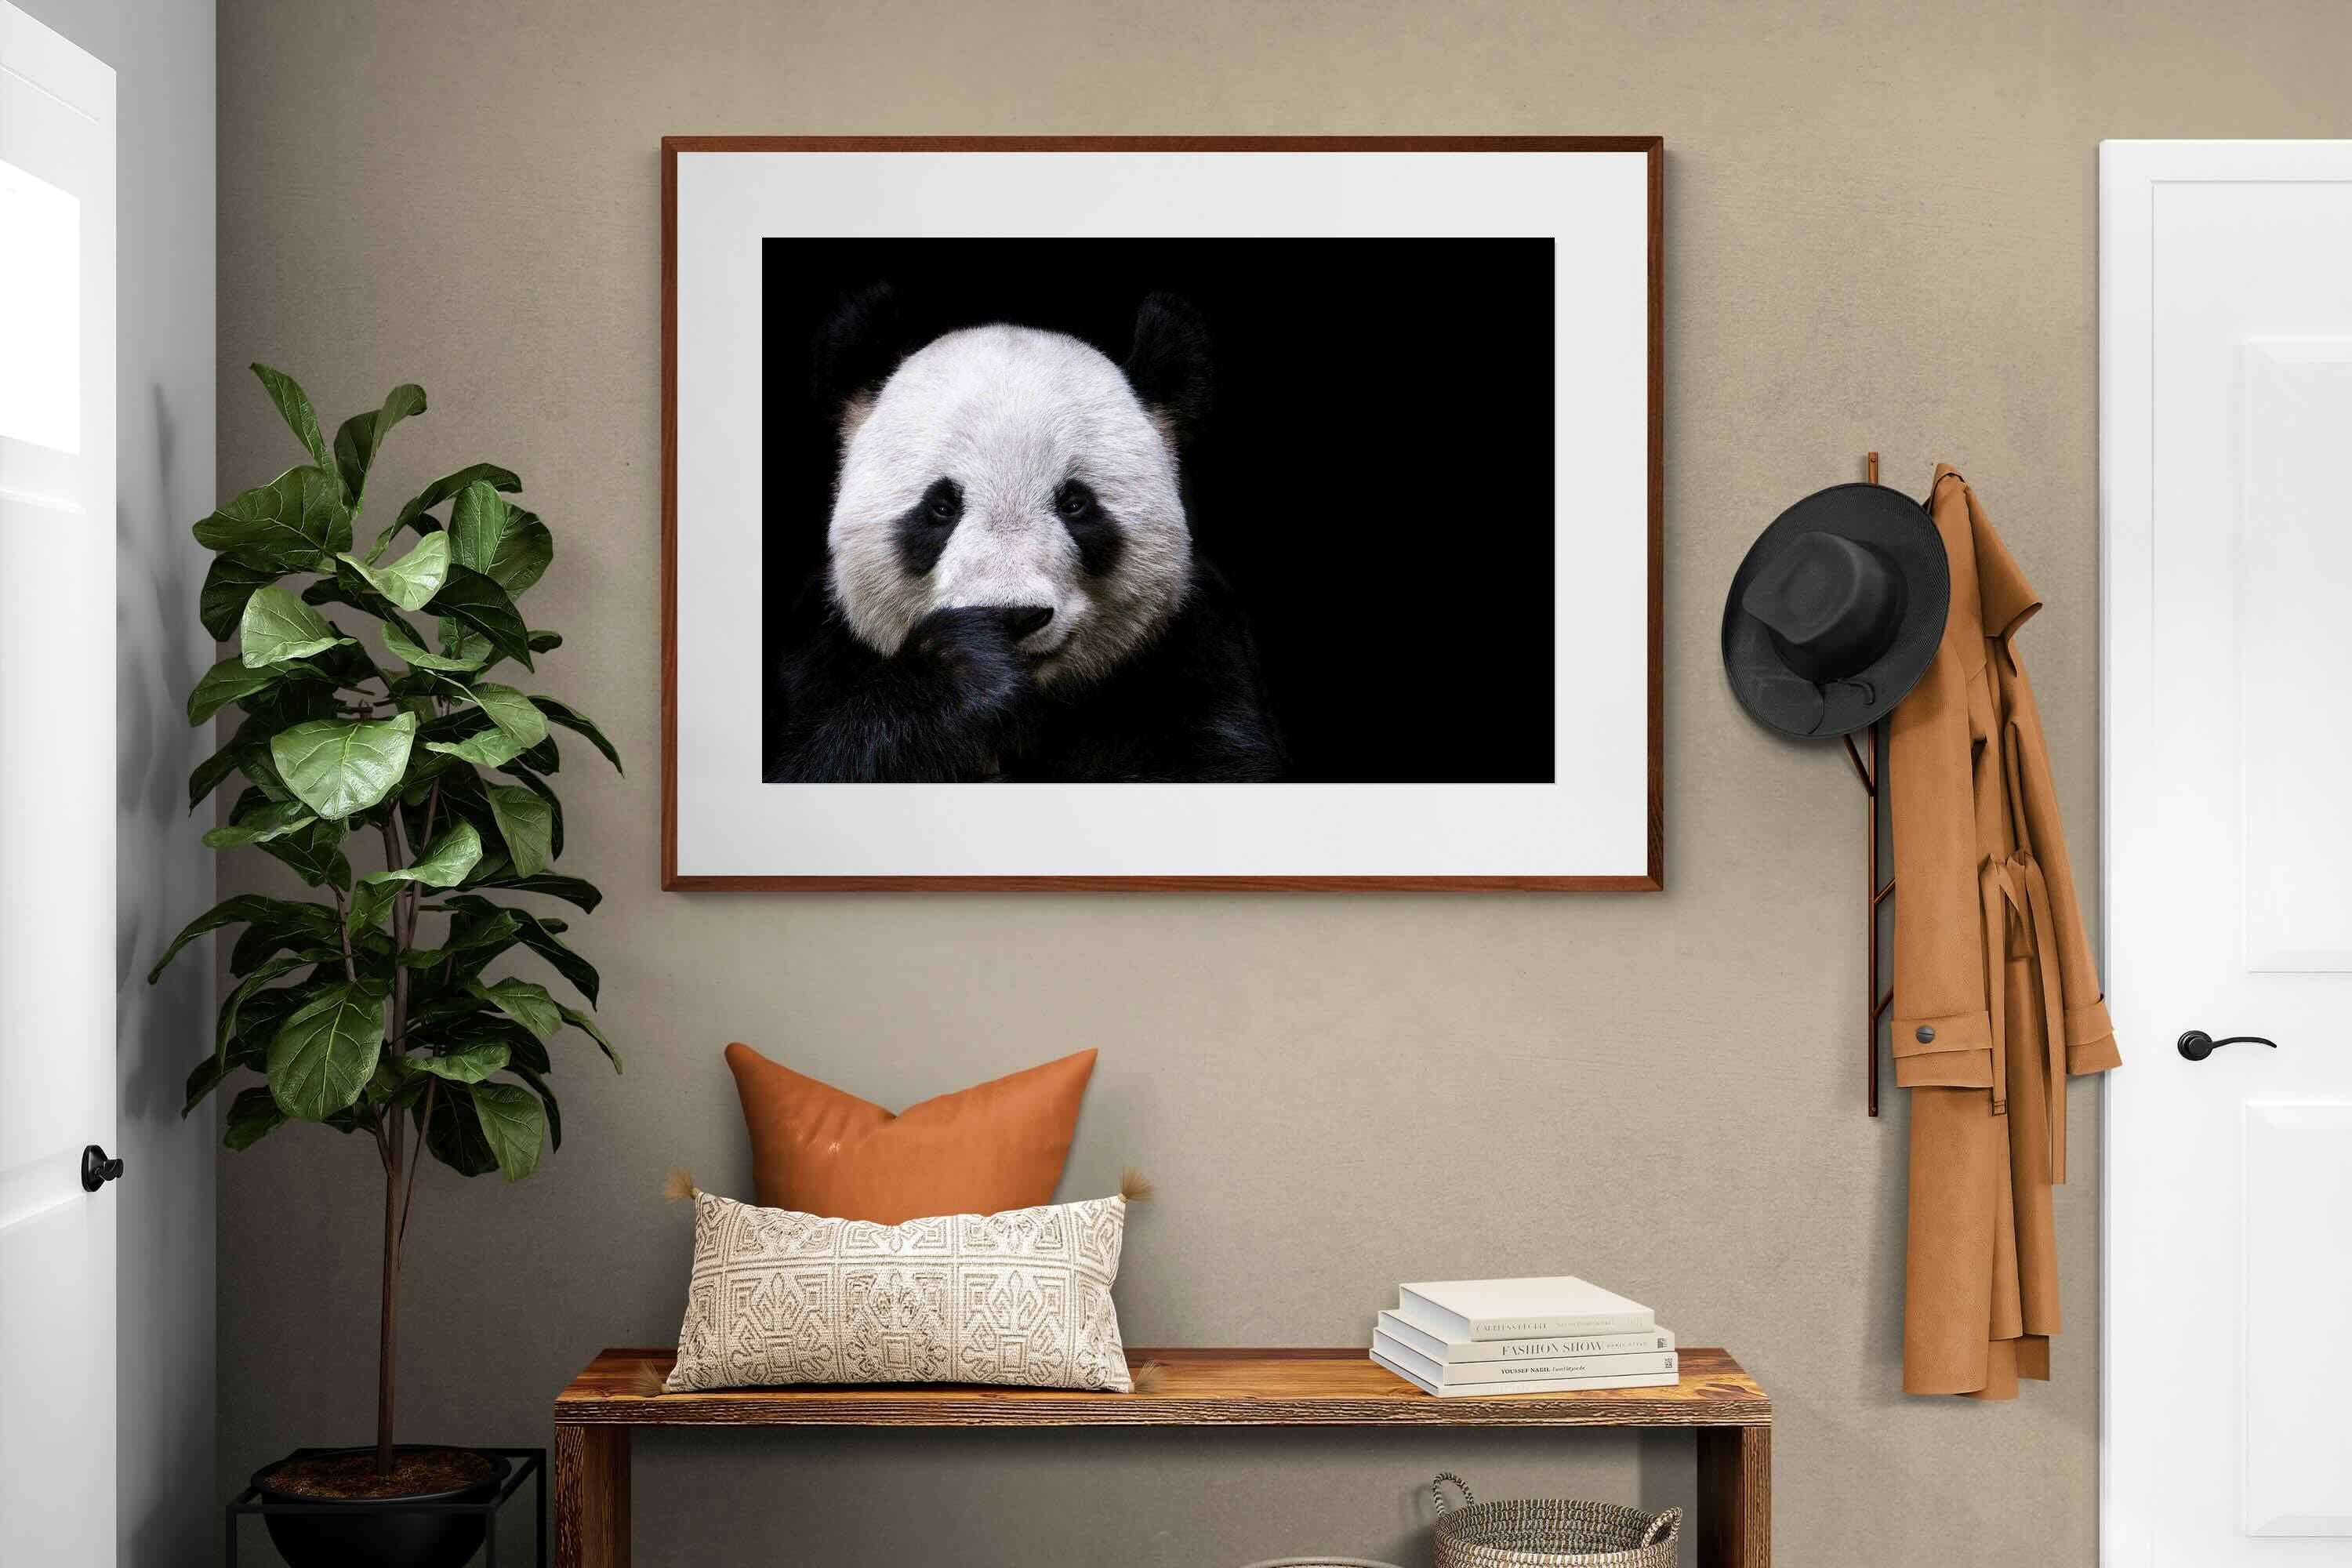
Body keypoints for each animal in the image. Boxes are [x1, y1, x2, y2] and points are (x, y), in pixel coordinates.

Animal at [764, 287, 1282, 783]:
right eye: (941, 508)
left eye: (1075, 504)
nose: (1012, 616)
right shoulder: (816, 656)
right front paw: (960, 671)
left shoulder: (1197, 654)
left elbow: (1217, 764)